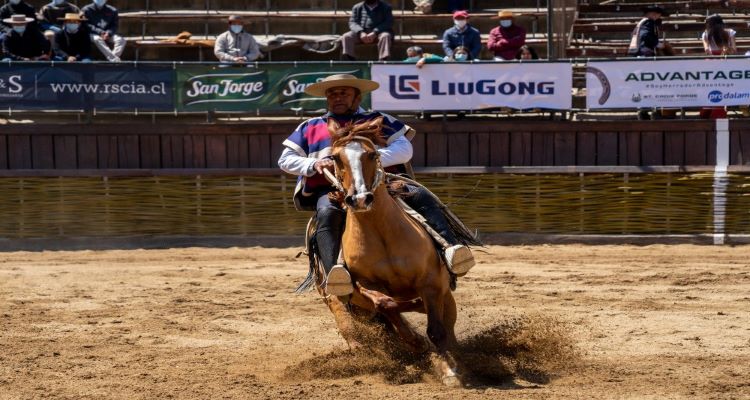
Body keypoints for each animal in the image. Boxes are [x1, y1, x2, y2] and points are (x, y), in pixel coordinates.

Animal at [308, 117, 462, 386]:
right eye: (336, 158)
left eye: (372, 154)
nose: (359, 199)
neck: (382, 232)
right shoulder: (365, 283)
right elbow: (386, 304)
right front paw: (415, 340)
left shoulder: (431, 282)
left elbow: (436, 330)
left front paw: (449, 371)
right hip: (342, 310)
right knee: (361, 336)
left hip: (445, 298)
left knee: (446, 329)